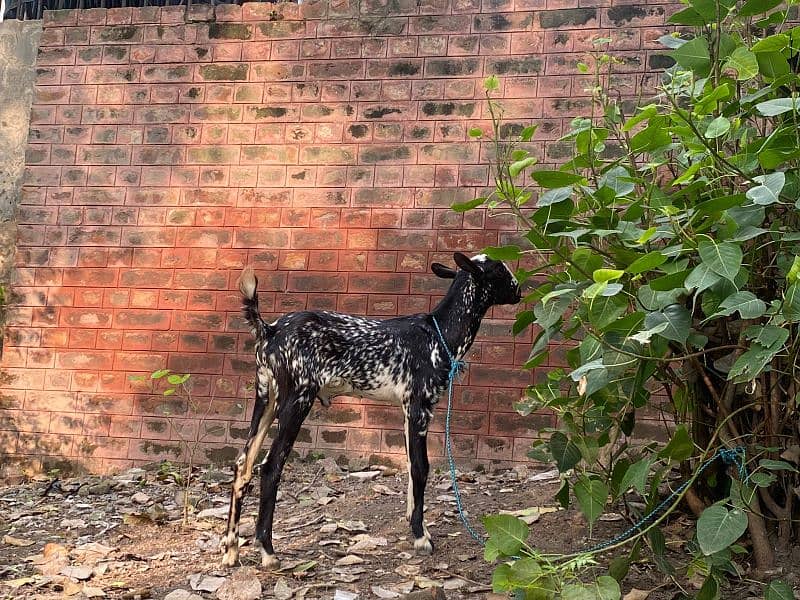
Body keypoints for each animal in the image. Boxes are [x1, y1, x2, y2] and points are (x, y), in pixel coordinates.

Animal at [219, 252, 520, 568]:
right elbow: (421, 467)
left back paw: (231, 550)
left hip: (266, 397)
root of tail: (270, 330)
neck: (438, 334)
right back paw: (267, 551)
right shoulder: (420, 405)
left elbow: (410, 465)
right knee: (270, 466)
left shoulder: (407, 410)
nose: (519, 291)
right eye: (499, 270)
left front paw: (418, 526)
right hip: (297, 397)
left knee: (243, 464)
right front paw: (421, 537)